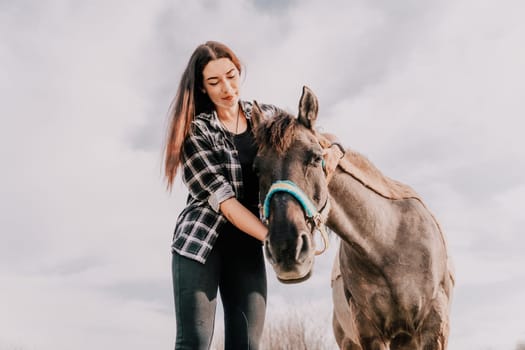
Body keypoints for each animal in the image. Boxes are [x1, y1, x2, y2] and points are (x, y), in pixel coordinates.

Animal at [251, 85, 454, 350]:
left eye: (315, 157)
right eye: (256, 169)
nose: (286, 249)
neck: (388, 245)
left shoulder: (434, 328)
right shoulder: (368, 331)